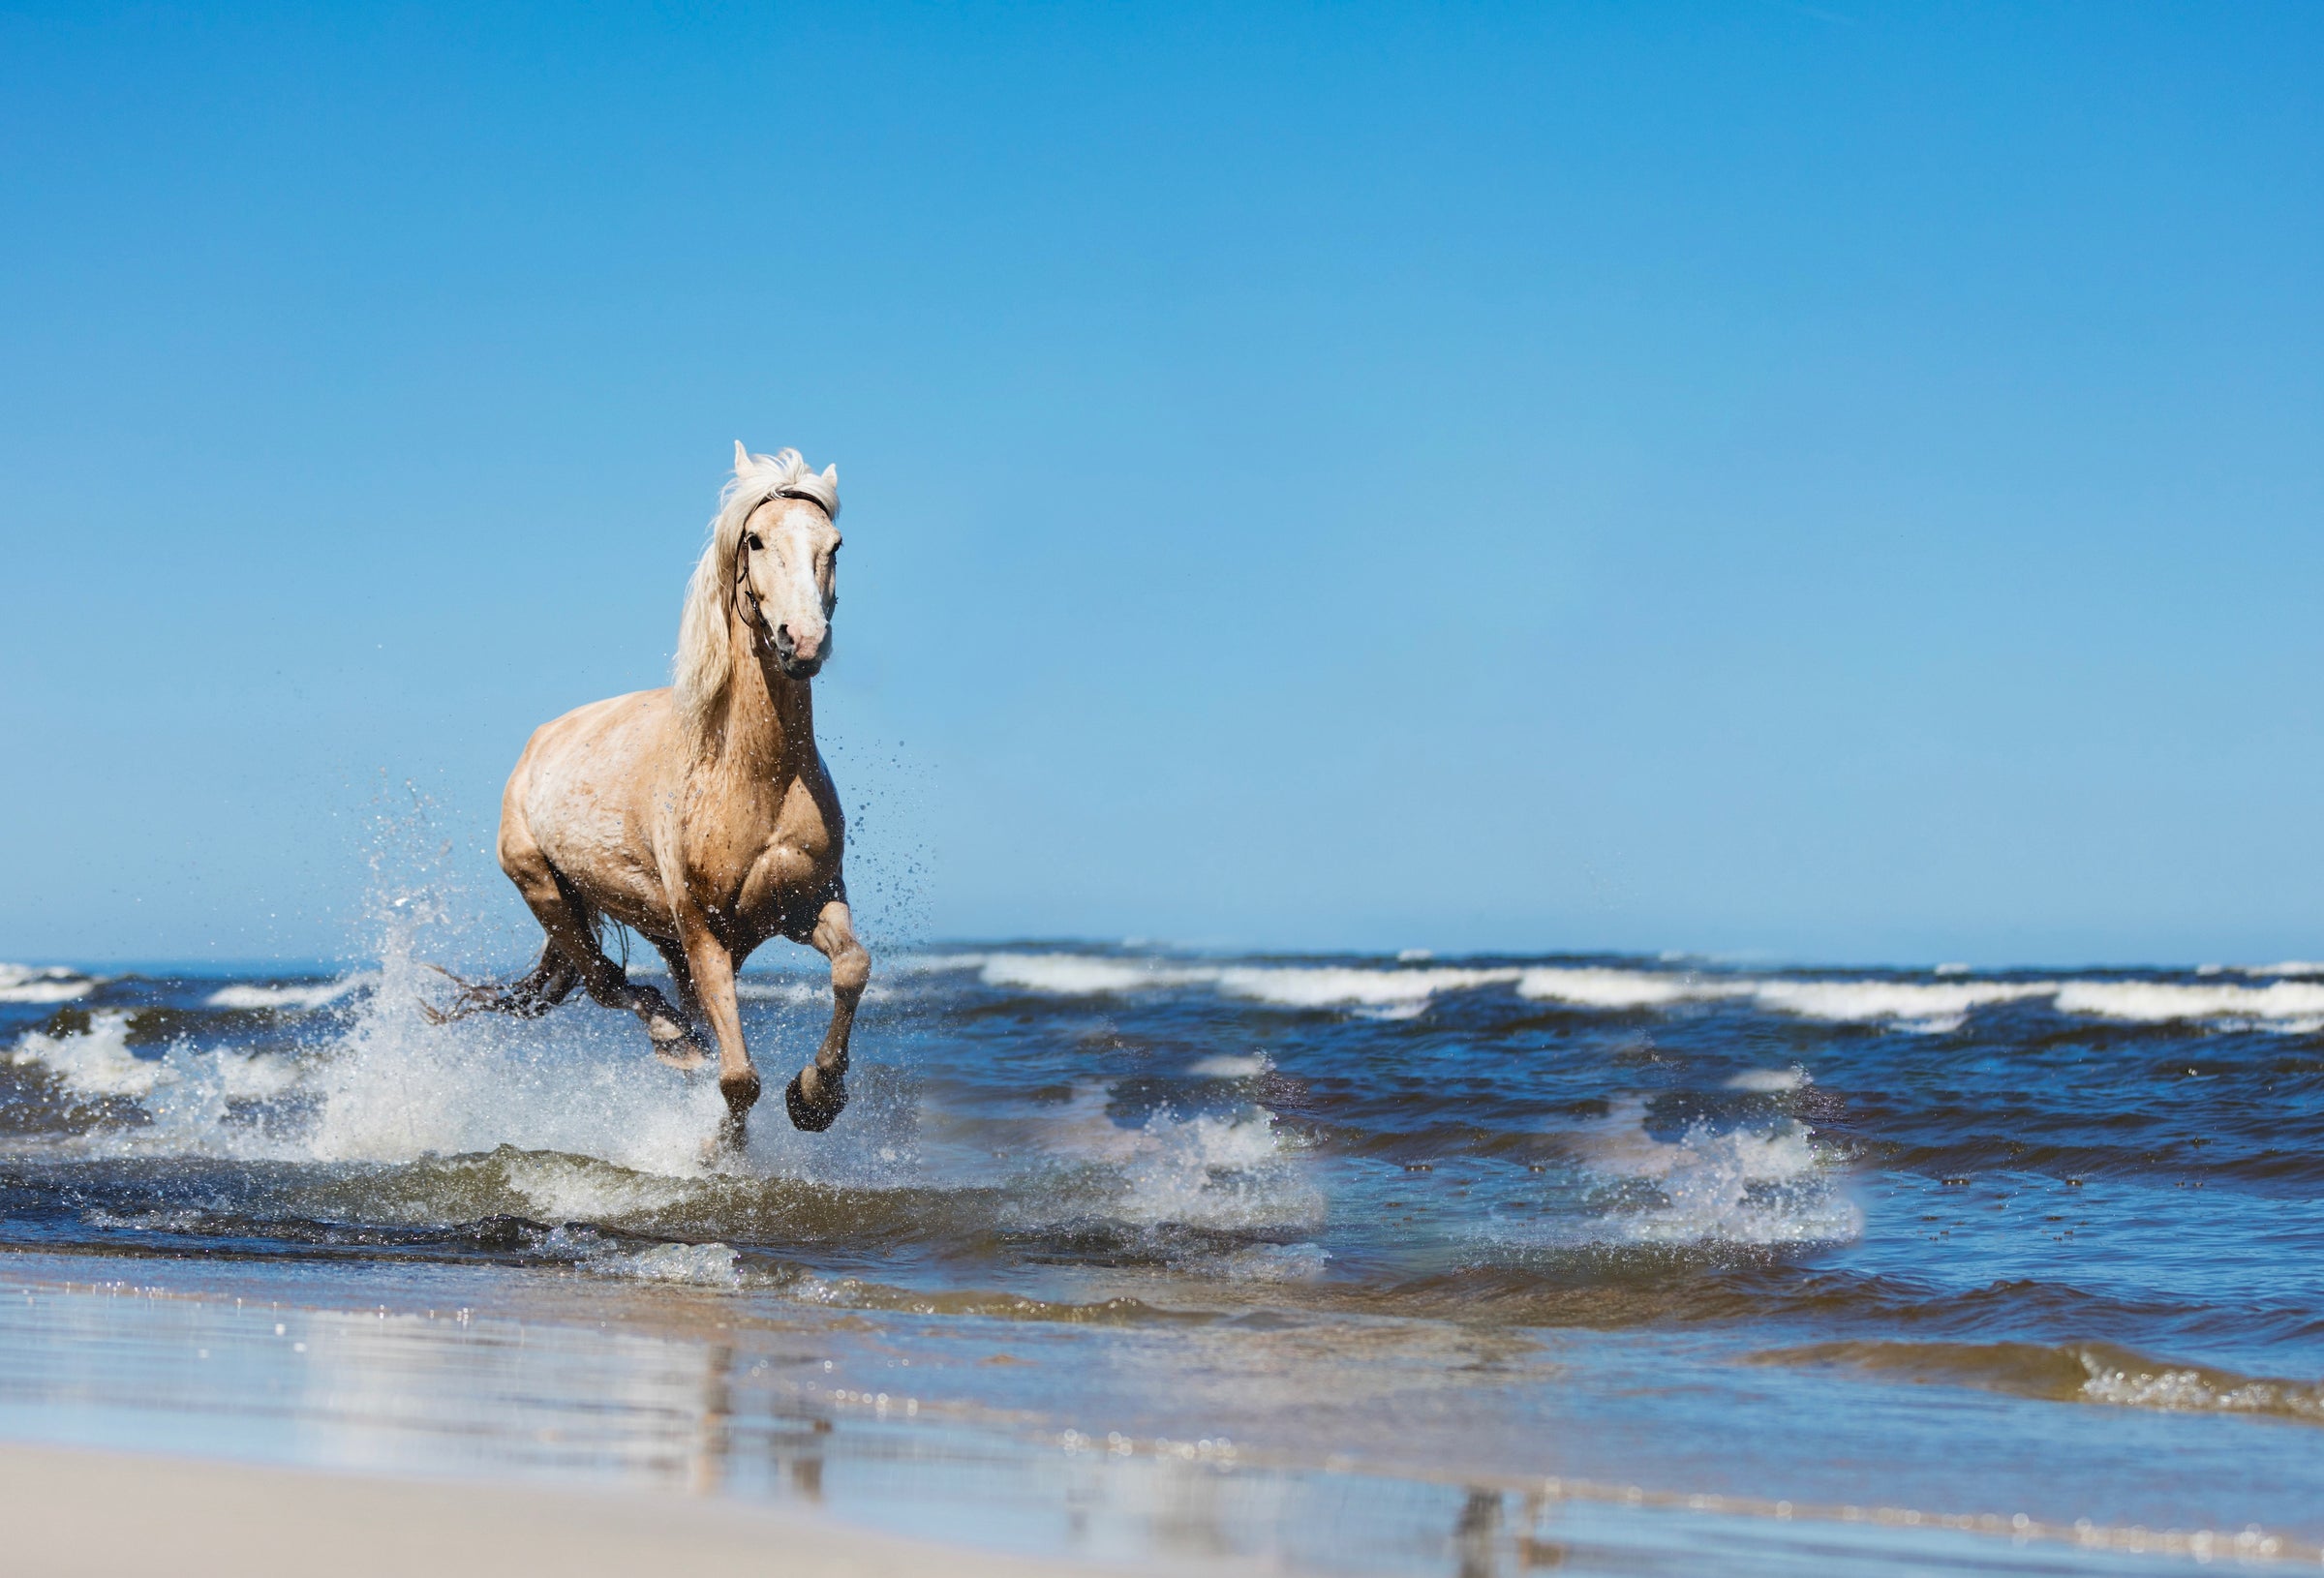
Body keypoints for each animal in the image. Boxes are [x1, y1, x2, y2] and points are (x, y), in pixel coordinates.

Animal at [432, 443, 869, 1147]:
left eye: (834, 545)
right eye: (755, 540)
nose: (801, 641)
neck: (754, 778)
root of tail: (537, 744)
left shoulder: (810, 902)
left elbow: (853, 967)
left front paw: (815, 1097)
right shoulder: (703, 930)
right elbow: (738, 1080)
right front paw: (719, 1153)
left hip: (659, 936)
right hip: (549, 895)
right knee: (606, 984)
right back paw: (672, 1039)